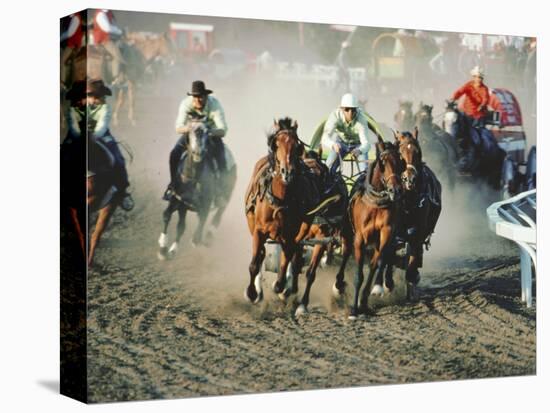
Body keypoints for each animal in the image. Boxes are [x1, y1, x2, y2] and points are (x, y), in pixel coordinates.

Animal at [158, 117, 238, 258]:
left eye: (208, 133)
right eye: (190, 131)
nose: (198, 152)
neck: (192, 179)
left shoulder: (205, 204)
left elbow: (201, 222)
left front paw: (195, 239)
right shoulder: (179, 201)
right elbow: (172, 219)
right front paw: (166, 248)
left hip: (227, 194)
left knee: (219, 214)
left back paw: (209, 236)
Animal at [350, 137, 406, 320]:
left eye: (400, 162)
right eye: (383, 162)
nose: (396, 190)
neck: (375, 203)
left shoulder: (386, 233)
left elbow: (377, 263)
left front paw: (367, 298)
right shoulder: (359, 238)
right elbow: (359, 275)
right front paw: (353, 309)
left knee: (382, 261)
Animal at [396, 130, 444, 298]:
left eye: (418, 153)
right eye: (399, 153)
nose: (409, 179)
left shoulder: (420, 226)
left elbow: (414, 251)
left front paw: (412, 276)